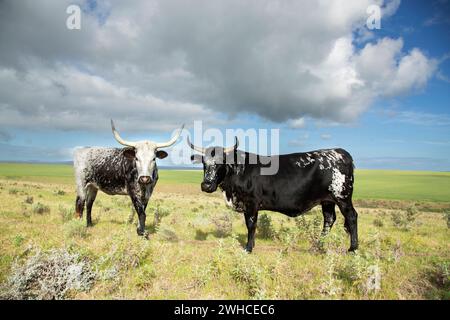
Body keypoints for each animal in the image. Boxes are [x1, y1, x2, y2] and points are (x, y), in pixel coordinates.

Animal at [189, 138, 358, 252]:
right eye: (204, 163)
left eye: (220, 163)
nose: (206, 185)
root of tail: (341, 152)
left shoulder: (251, 203)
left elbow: (251, 225)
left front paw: (248, 248)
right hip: (327, 200)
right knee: (329, 219)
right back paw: (318, 244)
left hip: (342, 197)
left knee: (351, 216)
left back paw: (353, 248)